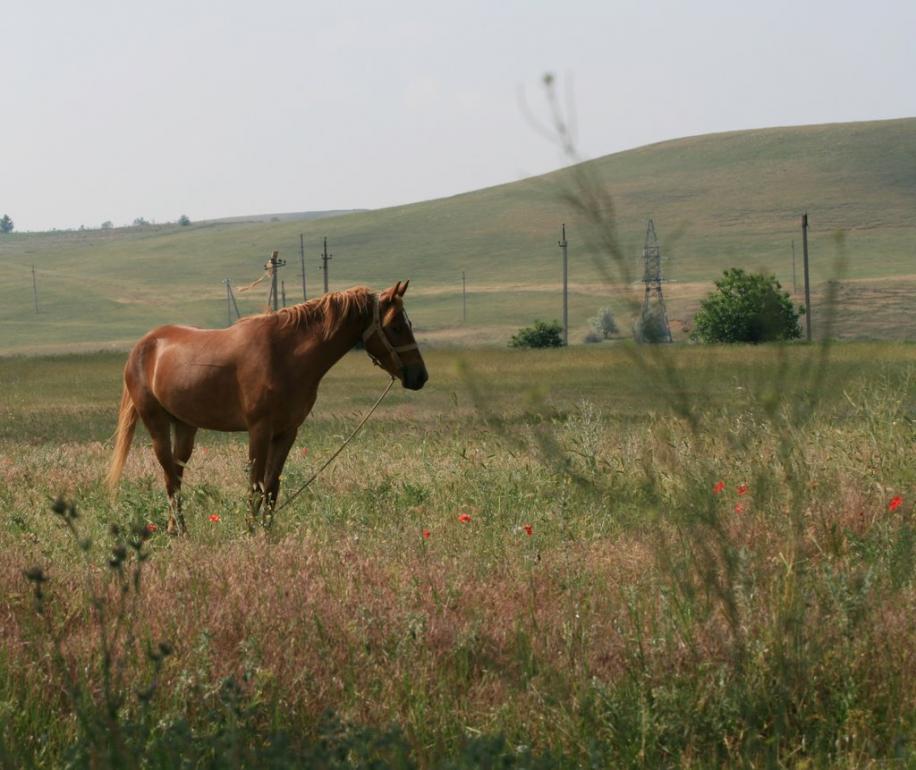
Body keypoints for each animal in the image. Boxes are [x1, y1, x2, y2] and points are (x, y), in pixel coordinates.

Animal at [105, 280, 428, 532]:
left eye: (408, 324)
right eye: (395, 326)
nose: (420, 376)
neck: (285, 355)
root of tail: (142, 346)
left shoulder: (287, 432)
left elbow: (272, 486)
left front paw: (266, 531)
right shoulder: (259, 430)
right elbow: (255, 485)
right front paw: (249, 530)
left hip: (185, 427)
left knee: (176, 473)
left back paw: (176, 528)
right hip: (156, 424)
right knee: (170, 477)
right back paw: (180, 531)